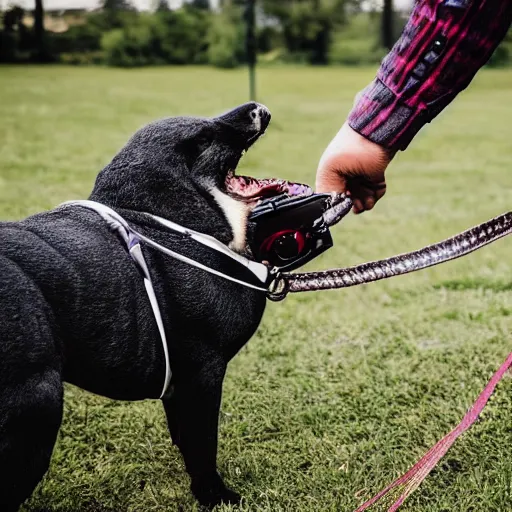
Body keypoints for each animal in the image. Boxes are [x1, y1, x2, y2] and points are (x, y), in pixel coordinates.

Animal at [0, 102, 310, 510]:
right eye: (204, 137)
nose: (257, 108)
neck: (160, 218)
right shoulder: (203, 376)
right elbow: (202, 446)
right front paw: (213, 495)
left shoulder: (182, 386)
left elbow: (186, 434)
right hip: (36, 412)